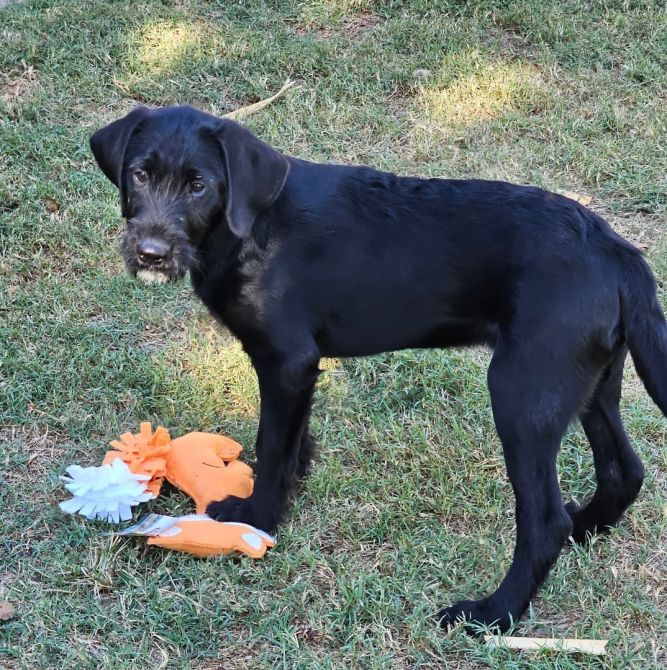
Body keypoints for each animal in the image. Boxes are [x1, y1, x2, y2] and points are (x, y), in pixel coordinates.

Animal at [90, 106, 667, 636]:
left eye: (198, 186)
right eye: (140, 174)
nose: (150, 253)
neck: (248, 230)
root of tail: (618, 251)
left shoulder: (286, 360)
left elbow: (272, 445)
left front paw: (256, 517)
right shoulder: (298, 369)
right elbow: (292, 439)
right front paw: (296, 479)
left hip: (522, 394)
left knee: (545, 521)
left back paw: (493, 613)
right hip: (590, 383)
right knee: (624, 471)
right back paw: (584, 528)